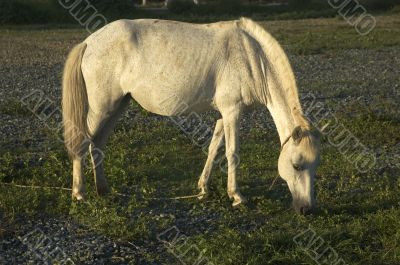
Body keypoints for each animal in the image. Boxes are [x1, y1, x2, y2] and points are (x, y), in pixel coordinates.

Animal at [62, 17, 320, 213]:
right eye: (296, 165)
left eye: (315, 166)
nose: (306, 210)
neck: (252, 56)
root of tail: (89, 42)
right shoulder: (232, 111)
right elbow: (232, 153)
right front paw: (236, 196)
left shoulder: (223, 114)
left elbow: (214, 148)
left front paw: (203, 188)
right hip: (102, 106)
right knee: (83, 142)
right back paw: (79, 194)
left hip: (117, 106)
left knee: (98, 143)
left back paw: (103, 190)